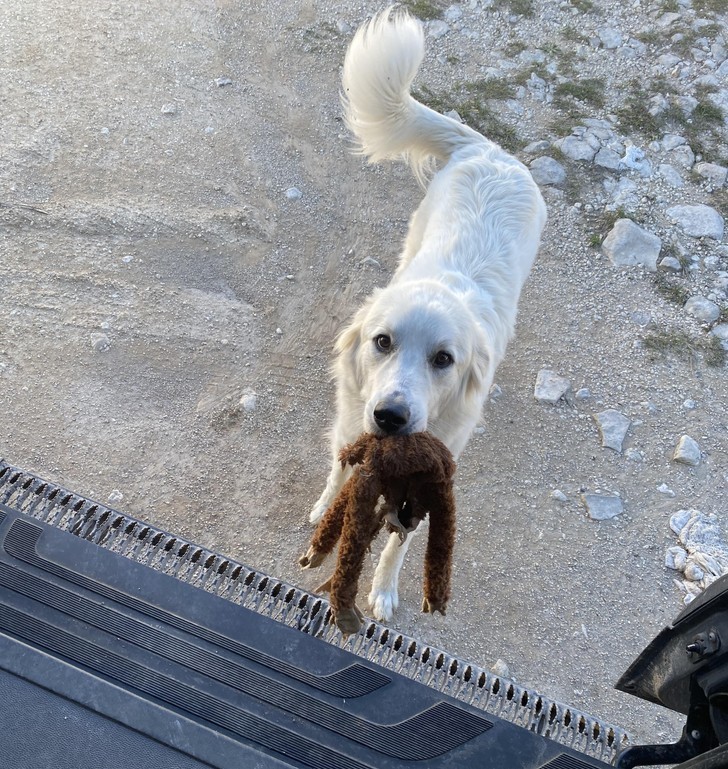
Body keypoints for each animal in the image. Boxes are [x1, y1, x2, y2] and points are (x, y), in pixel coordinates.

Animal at [308, 9, 544, 620]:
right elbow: (339, 470)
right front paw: (322, 511)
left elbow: (400, 541)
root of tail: (492, 151)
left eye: (444, 360)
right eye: (382, 342)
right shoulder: (352, 423)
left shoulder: (436, 471)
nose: (391, 417)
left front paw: (384, 589)